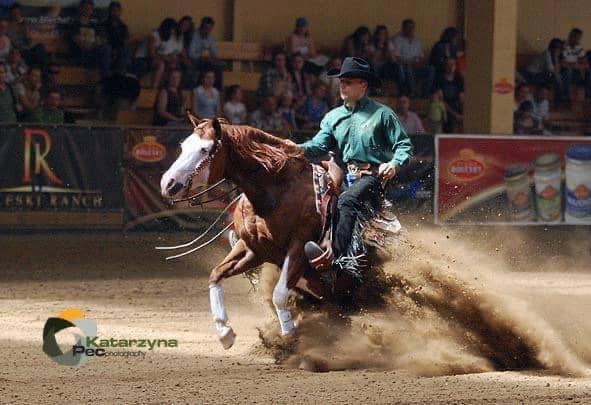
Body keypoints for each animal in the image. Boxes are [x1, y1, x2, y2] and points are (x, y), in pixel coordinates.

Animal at [160, 115, 336, 349]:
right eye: (183, 146)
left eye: (205, 149)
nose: (167, 183)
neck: (277, 191)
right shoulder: (255, 249)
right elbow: (216, 273)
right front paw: (224, 332)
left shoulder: (299, 244)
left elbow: (279, 293)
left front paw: (288, 335)